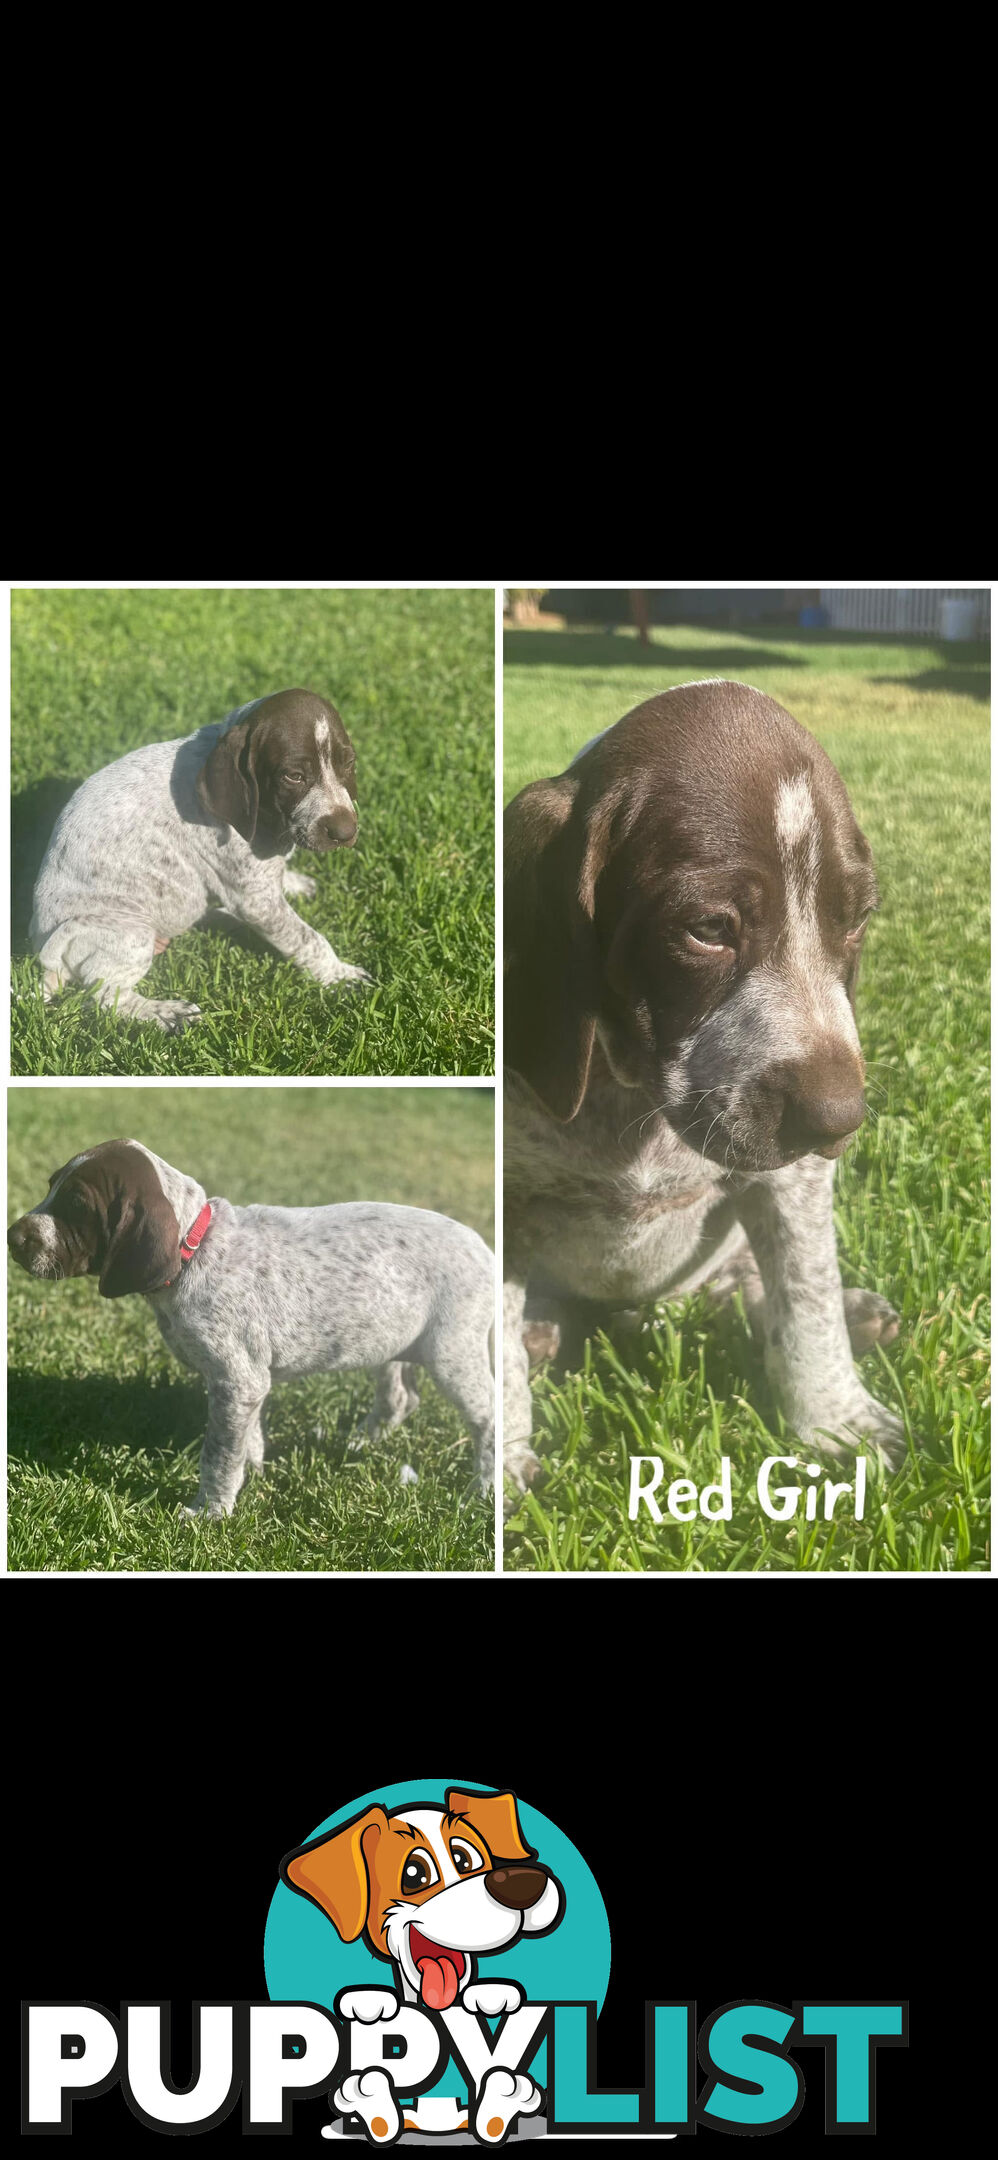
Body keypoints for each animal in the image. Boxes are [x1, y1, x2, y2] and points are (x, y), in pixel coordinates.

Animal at [6, 1140, 490, 1512]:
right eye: (51, 1187)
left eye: (76, 1204)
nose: (12, 1237)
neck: (194, 1249)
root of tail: (483, 1246)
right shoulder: (247, 1383)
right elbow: (248, 1438)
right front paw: (253, 1475)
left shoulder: (237, 1381)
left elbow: (219, 1453)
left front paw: (210, 1511)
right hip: (390, 1339)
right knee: (400, 1398)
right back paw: (362, 1443)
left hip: (453, 1354)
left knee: (488, 1419)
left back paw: (483, 1491)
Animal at [34, 686, 373, 1032]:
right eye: (294, 776)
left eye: (349, 763)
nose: (346, 832)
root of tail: (46, 958)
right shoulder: (256, 901)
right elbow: (308, 938)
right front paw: (340, 975)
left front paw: (293, 882)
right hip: (130, 930)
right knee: (104, 996)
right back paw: (165, 1013)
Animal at [503, 673, 907, 1503]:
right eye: (709, 930)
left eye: (854, 922)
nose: (838, 1122)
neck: (633, 1097)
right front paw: (495, 1467)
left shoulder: (787, 1183)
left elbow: (806, 1294)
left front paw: (837, 1420)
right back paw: (538, 1334)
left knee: (756, 1287)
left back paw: (855, 1315)